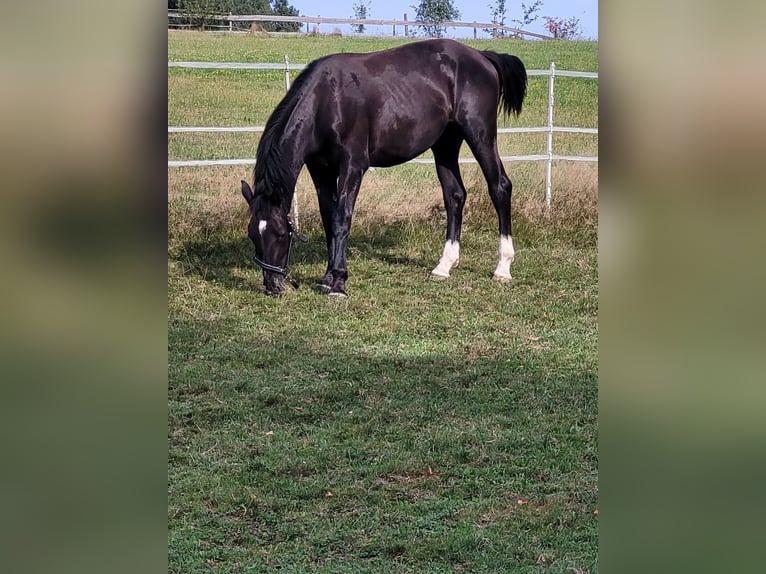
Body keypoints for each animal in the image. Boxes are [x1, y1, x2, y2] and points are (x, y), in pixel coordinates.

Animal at [242, 37, 528, 296]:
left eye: (281, 234)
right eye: (253, 235)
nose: (272, 285)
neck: (328, 101)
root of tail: (482, 56)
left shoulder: (353, 166)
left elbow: (342, 218)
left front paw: (339, 282)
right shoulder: (321, 170)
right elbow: (329, 220)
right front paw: (326, 278)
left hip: (480, 134)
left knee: (500, 187)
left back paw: (503, 268)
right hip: (445, 144)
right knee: (454, 196)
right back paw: (444, 266)